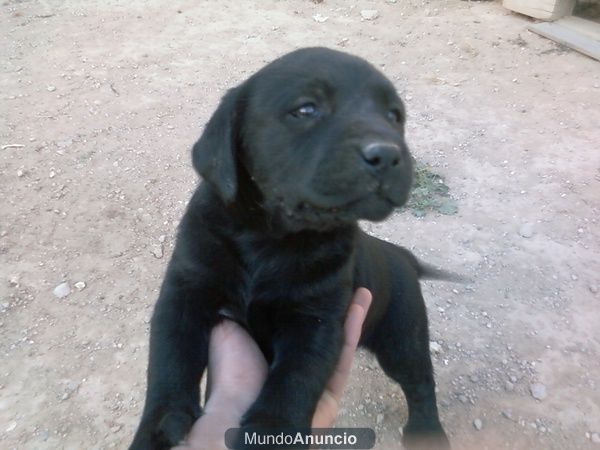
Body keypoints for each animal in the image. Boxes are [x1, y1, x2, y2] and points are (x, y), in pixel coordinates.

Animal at [130, 47, 450, 448]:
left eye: (395, 116)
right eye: (306, 109)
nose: (389, 155)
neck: (271, 239)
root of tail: (402, 256)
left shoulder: (315, 318)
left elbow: (296, 376)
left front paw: (270, 431)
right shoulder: (184, 292)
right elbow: (169, 358)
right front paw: (158, 427)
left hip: (401, 335)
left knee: (420, 381)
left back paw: (428, 431)